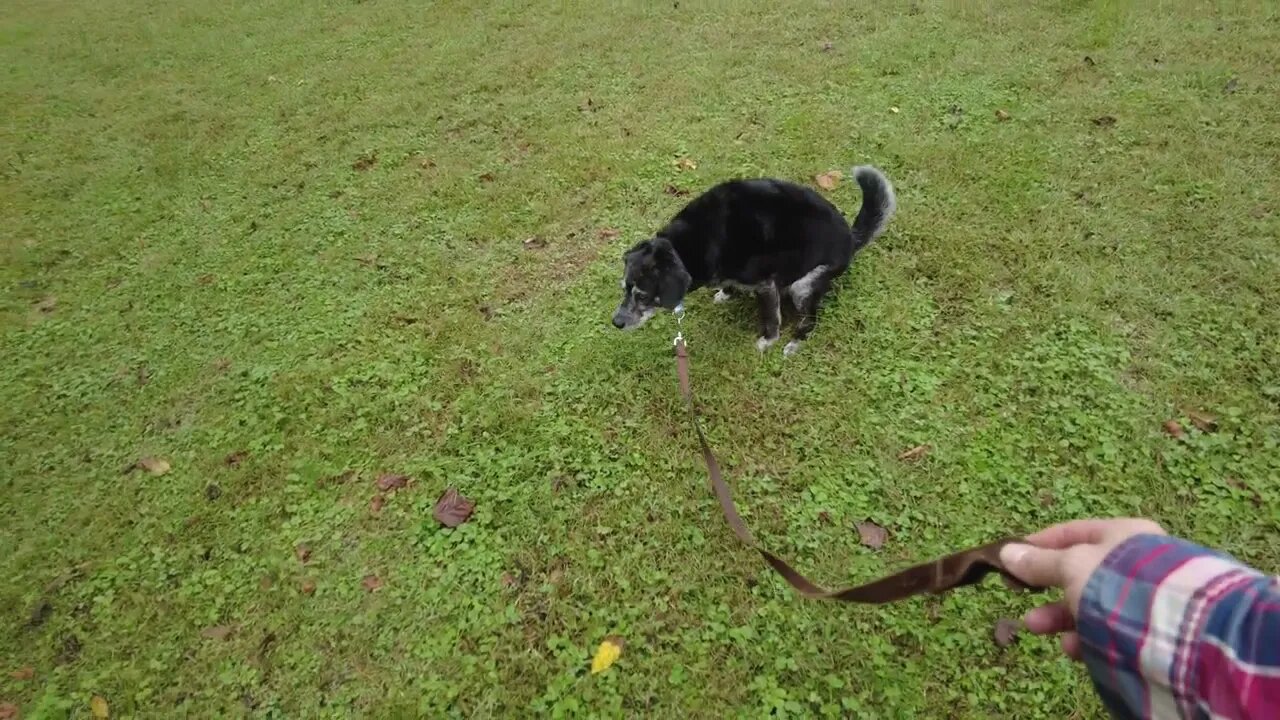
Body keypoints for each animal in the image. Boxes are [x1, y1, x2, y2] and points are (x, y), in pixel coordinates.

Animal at [611, 163, 896, 353]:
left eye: (643, 296)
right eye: (624, 288)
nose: (616, 322)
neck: (687, 246)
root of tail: (851, 239)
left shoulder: (765, 284)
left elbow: (771, 319)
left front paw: (767, 342)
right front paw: (725, 294)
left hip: (803, 286)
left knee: (811, 319)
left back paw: (794, 343)